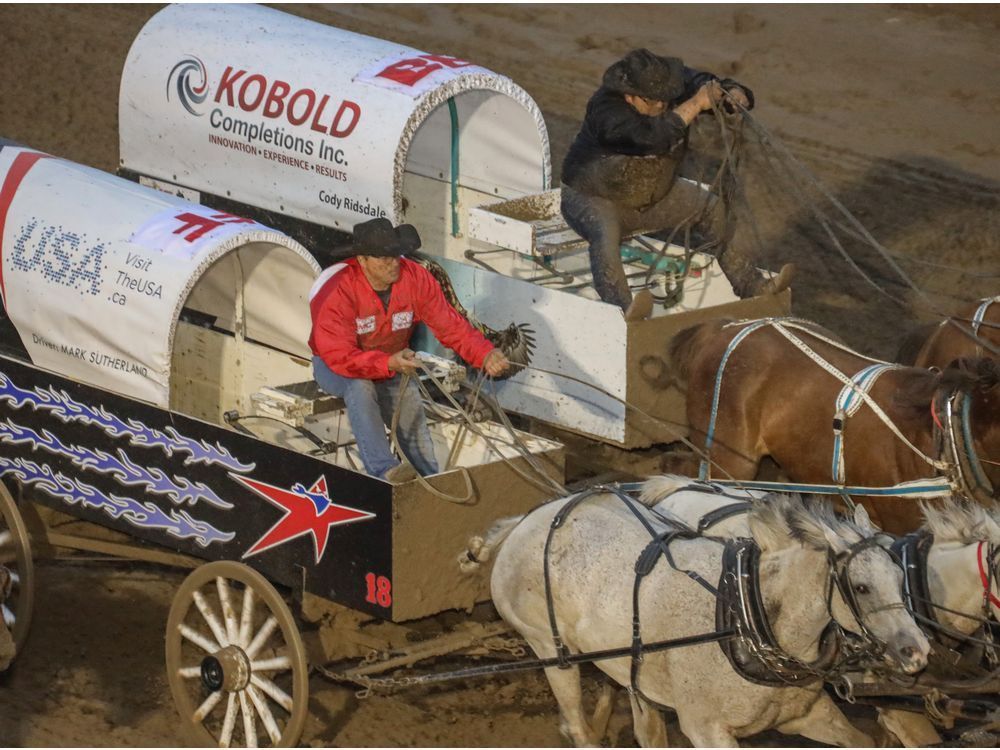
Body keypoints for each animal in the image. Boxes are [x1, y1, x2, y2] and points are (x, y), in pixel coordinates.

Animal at [476, 488, 928, 748]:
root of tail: (525, 521)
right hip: (551, 651)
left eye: (899, 577)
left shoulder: (807, 715)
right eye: (862, 587)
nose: (918, 651)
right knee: (579, 725)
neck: (747, 617)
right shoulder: (707, 730)